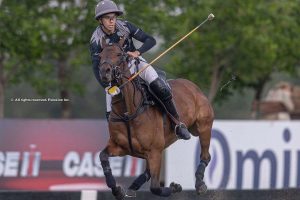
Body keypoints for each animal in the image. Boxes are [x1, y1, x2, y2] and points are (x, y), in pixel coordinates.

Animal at [98, 38, 213, 200]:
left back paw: (200, 184)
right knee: (147, 171)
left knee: (206, 155)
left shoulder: (154, 151)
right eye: (100, 55)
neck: (128, 113)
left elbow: (155, 187)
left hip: (204, 125)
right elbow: (102, 156)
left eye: (119, 54)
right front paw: (117, 190)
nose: (104, 72)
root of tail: (193, 86)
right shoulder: (120, 146)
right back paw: (132, 188)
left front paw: (175, 187)